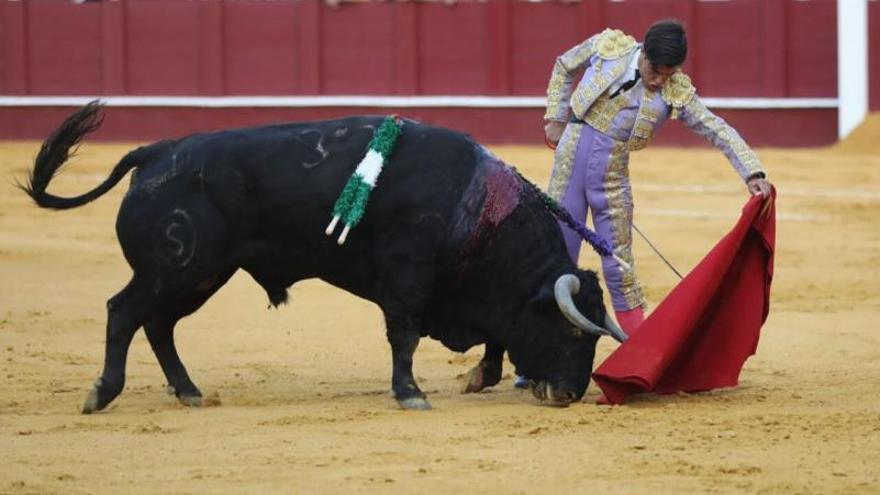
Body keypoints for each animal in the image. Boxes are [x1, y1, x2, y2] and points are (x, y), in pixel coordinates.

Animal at [20, 102, 624, 412]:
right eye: (574, 332)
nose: (570, 394)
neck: (477, 211)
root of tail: (157, 152)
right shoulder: (407, 278)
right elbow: (404, 335)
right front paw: (411, 394)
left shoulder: (472, 291)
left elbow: (496, 332)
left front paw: (477, 376)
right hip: (172, 268)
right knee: (123, 312)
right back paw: (102, 394)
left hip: (200, 276)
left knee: (158, 325)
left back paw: (189, 391)